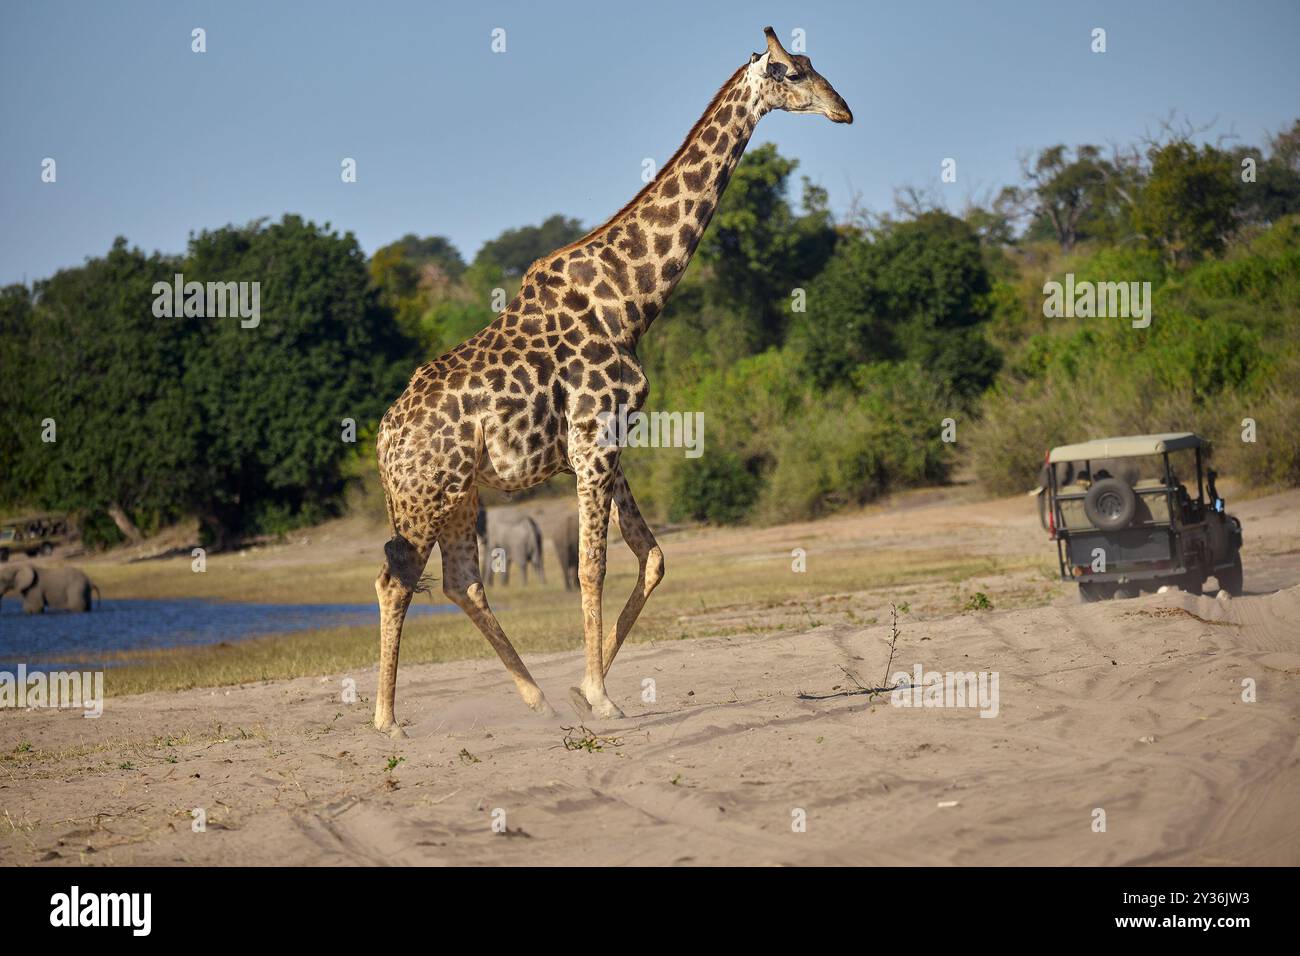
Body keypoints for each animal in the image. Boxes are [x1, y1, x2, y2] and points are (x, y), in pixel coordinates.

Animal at [369, 26, 852, 738]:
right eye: (792, 72)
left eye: (814, 64)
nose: (843, 111)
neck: (630, 299)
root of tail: (381, 441)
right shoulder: (592, 443)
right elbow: (594, 568)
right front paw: (598, 695)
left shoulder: (608, 443)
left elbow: (650, 556)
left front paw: (581, 689)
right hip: (422, 496)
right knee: (395, 580)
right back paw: (387, 720)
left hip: (460, 496)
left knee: (461, 582)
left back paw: (536, 698)